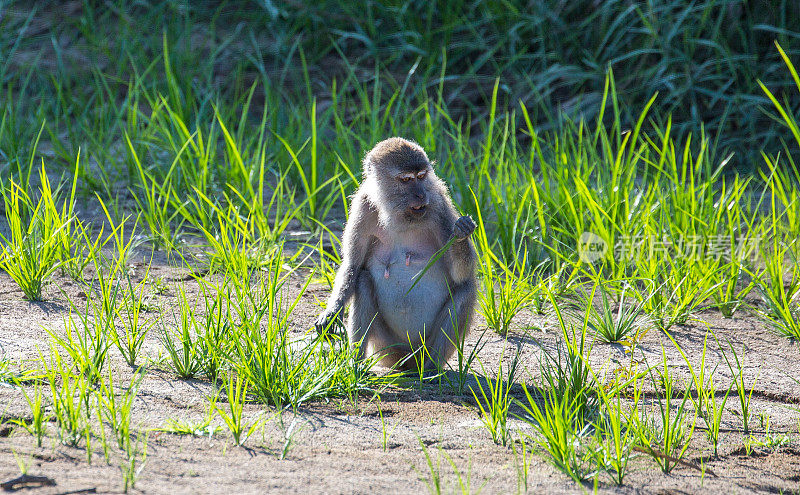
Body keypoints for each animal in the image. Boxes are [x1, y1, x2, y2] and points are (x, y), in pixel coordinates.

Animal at [312, 138, 476, 370]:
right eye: (406, 179)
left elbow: (460, 275)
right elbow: (353, 265)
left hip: (424, 348)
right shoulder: (363, 206)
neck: (400, 216)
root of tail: (410, 361)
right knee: (363, 280)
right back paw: (356, 365)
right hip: (387, 349)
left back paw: (431, 370)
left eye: (421, 176)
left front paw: (462, 232)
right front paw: (332, 312)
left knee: (466, 288)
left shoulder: (439, 205)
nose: (421, 194)